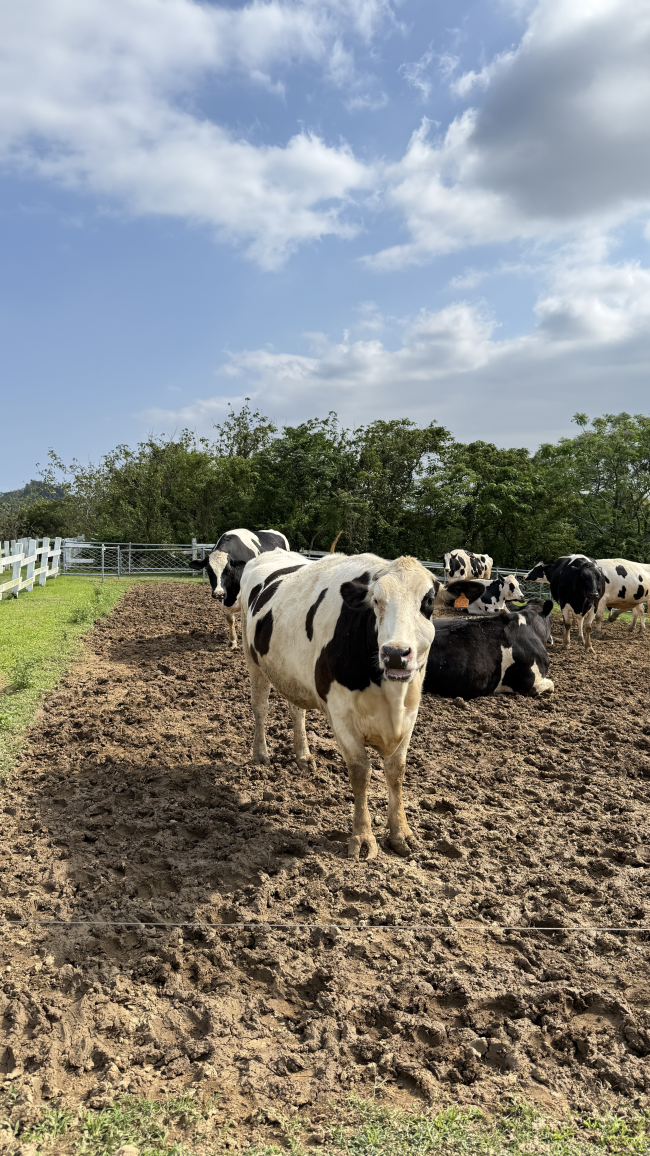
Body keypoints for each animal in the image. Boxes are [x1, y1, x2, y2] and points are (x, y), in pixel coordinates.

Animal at [240, 549, 437, 861]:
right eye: (376, 601)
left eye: (428, 601)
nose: (395, 653)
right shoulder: (341, 715)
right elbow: (360, 772)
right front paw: (363, 837)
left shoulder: (410, 713)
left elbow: (396, 771)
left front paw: (401, 833)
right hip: (253, 660)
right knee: (260, 707)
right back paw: (260, 754)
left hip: (294, 675)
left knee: (296, 711)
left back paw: (303, 755)